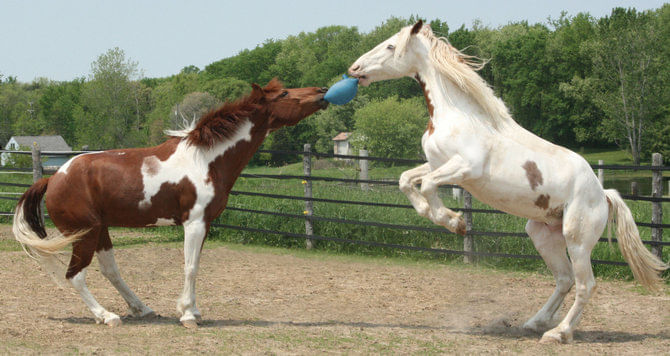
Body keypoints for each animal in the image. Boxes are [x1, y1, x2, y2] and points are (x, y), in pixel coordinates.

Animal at [13, 79, 328, 330]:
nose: (323, 92)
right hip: (84, 233)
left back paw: (141, 309)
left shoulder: (205, 224)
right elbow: (190, 267)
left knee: (110, 271)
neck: (205, 160)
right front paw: (188, 315)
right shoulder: (194, 223)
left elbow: (195, 263)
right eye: (284, 93)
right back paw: (107, 316)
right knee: (75, 275)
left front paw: (194, 311)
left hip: (100, 230)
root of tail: (53, 179)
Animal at [350, 20, 668, 344]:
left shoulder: (464, 168)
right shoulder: (439, 164)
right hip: (543, 234)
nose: (354, 68)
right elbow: (406, 180)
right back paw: (534, 322)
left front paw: (455, 222)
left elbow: (426, 185)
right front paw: (442, 217)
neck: (459, 116)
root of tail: (603, 193)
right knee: (564, 279)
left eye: (391, 46)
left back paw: (558, 333)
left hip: (577, 238)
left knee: (585, 285)